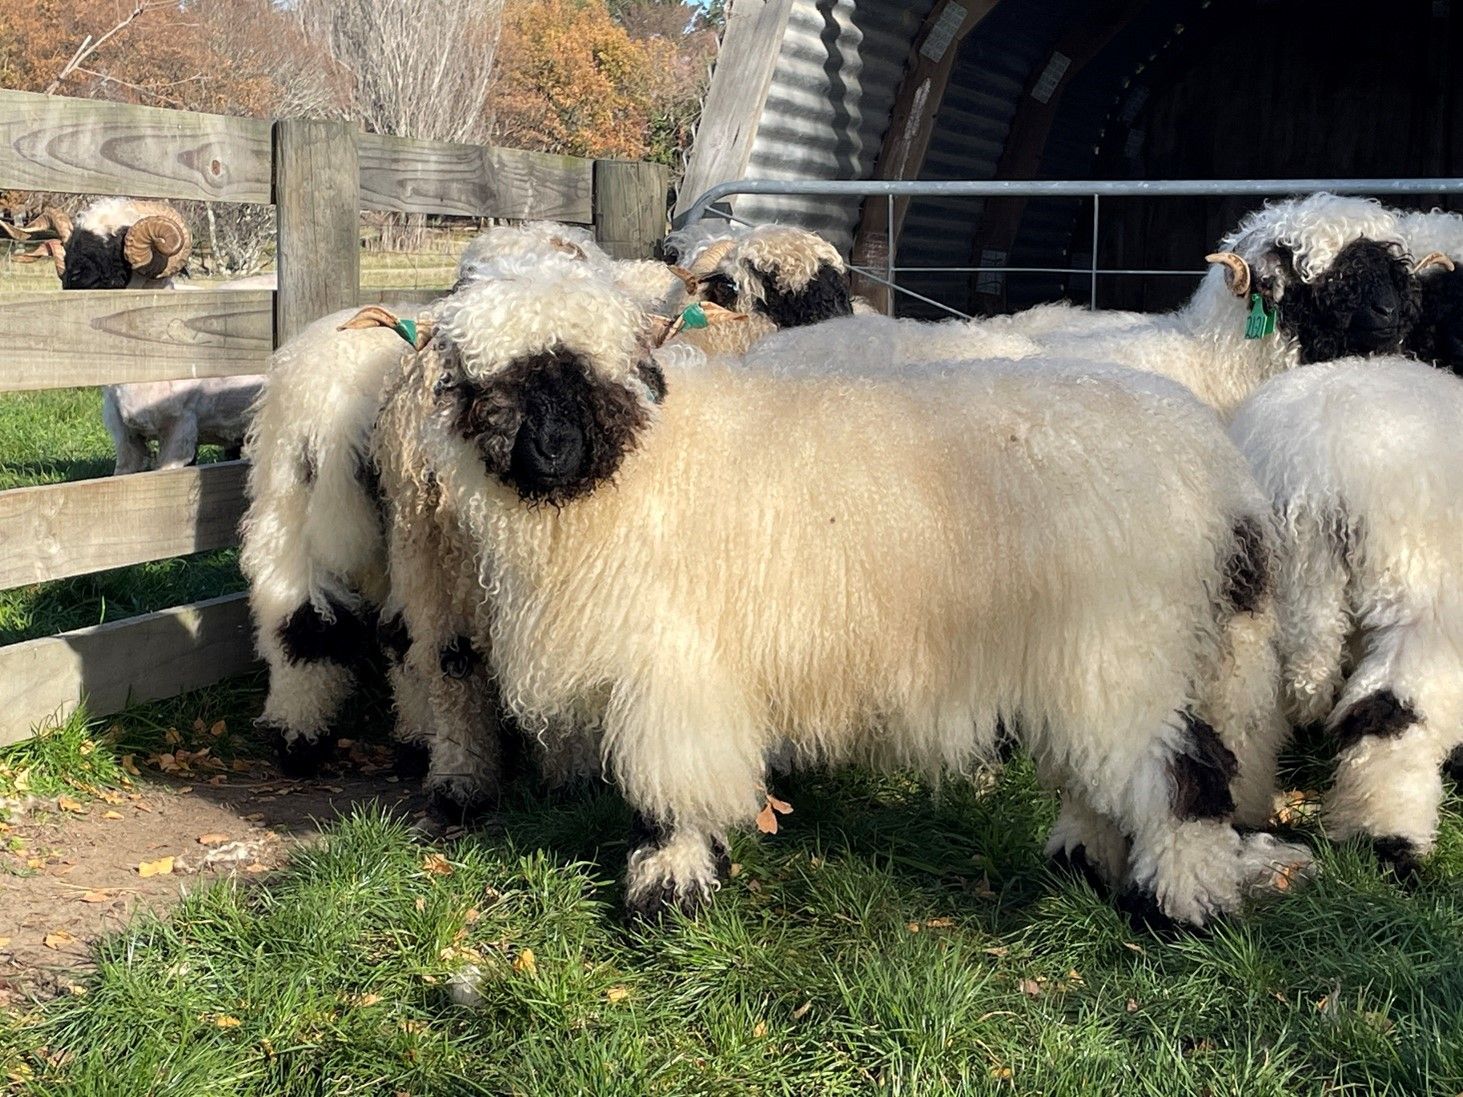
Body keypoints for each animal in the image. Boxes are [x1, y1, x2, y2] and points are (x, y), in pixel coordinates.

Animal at [403, 264, 1316, 930]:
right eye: (497, 384)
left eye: (593, 377)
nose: (553, 450)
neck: (640, 467)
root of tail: (1215, 466)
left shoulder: (673, 666)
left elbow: (666, 793)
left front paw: (664, 892)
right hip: (1082, 653)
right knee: (1101, 773)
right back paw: (1084, 868)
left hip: (1126, 641)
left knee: (1184, 771)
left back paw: (1179, 908)